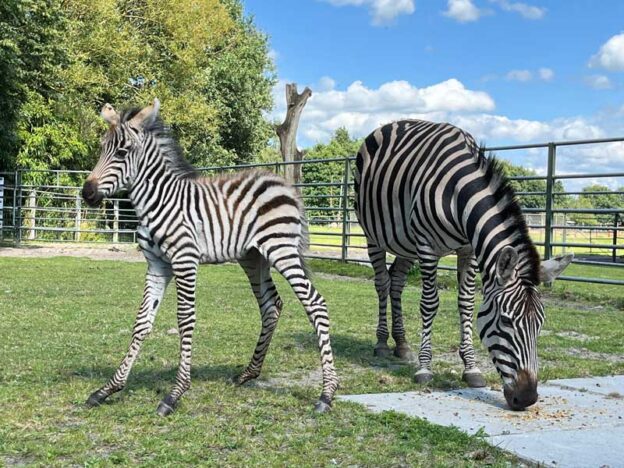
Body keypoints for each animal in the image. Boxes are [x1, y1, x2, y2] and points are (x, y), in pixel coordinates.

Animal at [82, 98, 338, 414]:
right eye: (101, 148)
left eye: (122, 152)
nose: (86, 193)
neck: (158, 201)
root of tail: (284, 184)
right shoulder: (157, 265)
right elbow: (142, 321)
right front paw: (108, 389)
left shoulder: (184, 260)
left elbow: (185, 319)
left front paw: (175, 394)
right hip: (253, 257)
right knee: (271, 306)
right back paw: (248, 373)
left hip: (282, 251)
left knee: (315, 303)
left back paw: (327, 394)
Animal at [354, 119, 572, 410]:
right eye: (506, 321)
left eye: (540, 323)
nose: (527, 398)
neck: (459, 195)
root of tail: (390, 125)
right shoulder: (427, 246)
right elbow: (429, 304)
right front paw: (425, 368)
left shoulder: (469, 249)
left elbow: (466, 303)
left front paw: (470, 368)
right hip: (374, 235)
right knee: (382, 283)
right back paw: (380, 343)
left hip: (405, 243)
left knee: (396, 282)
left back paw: (401, 344)